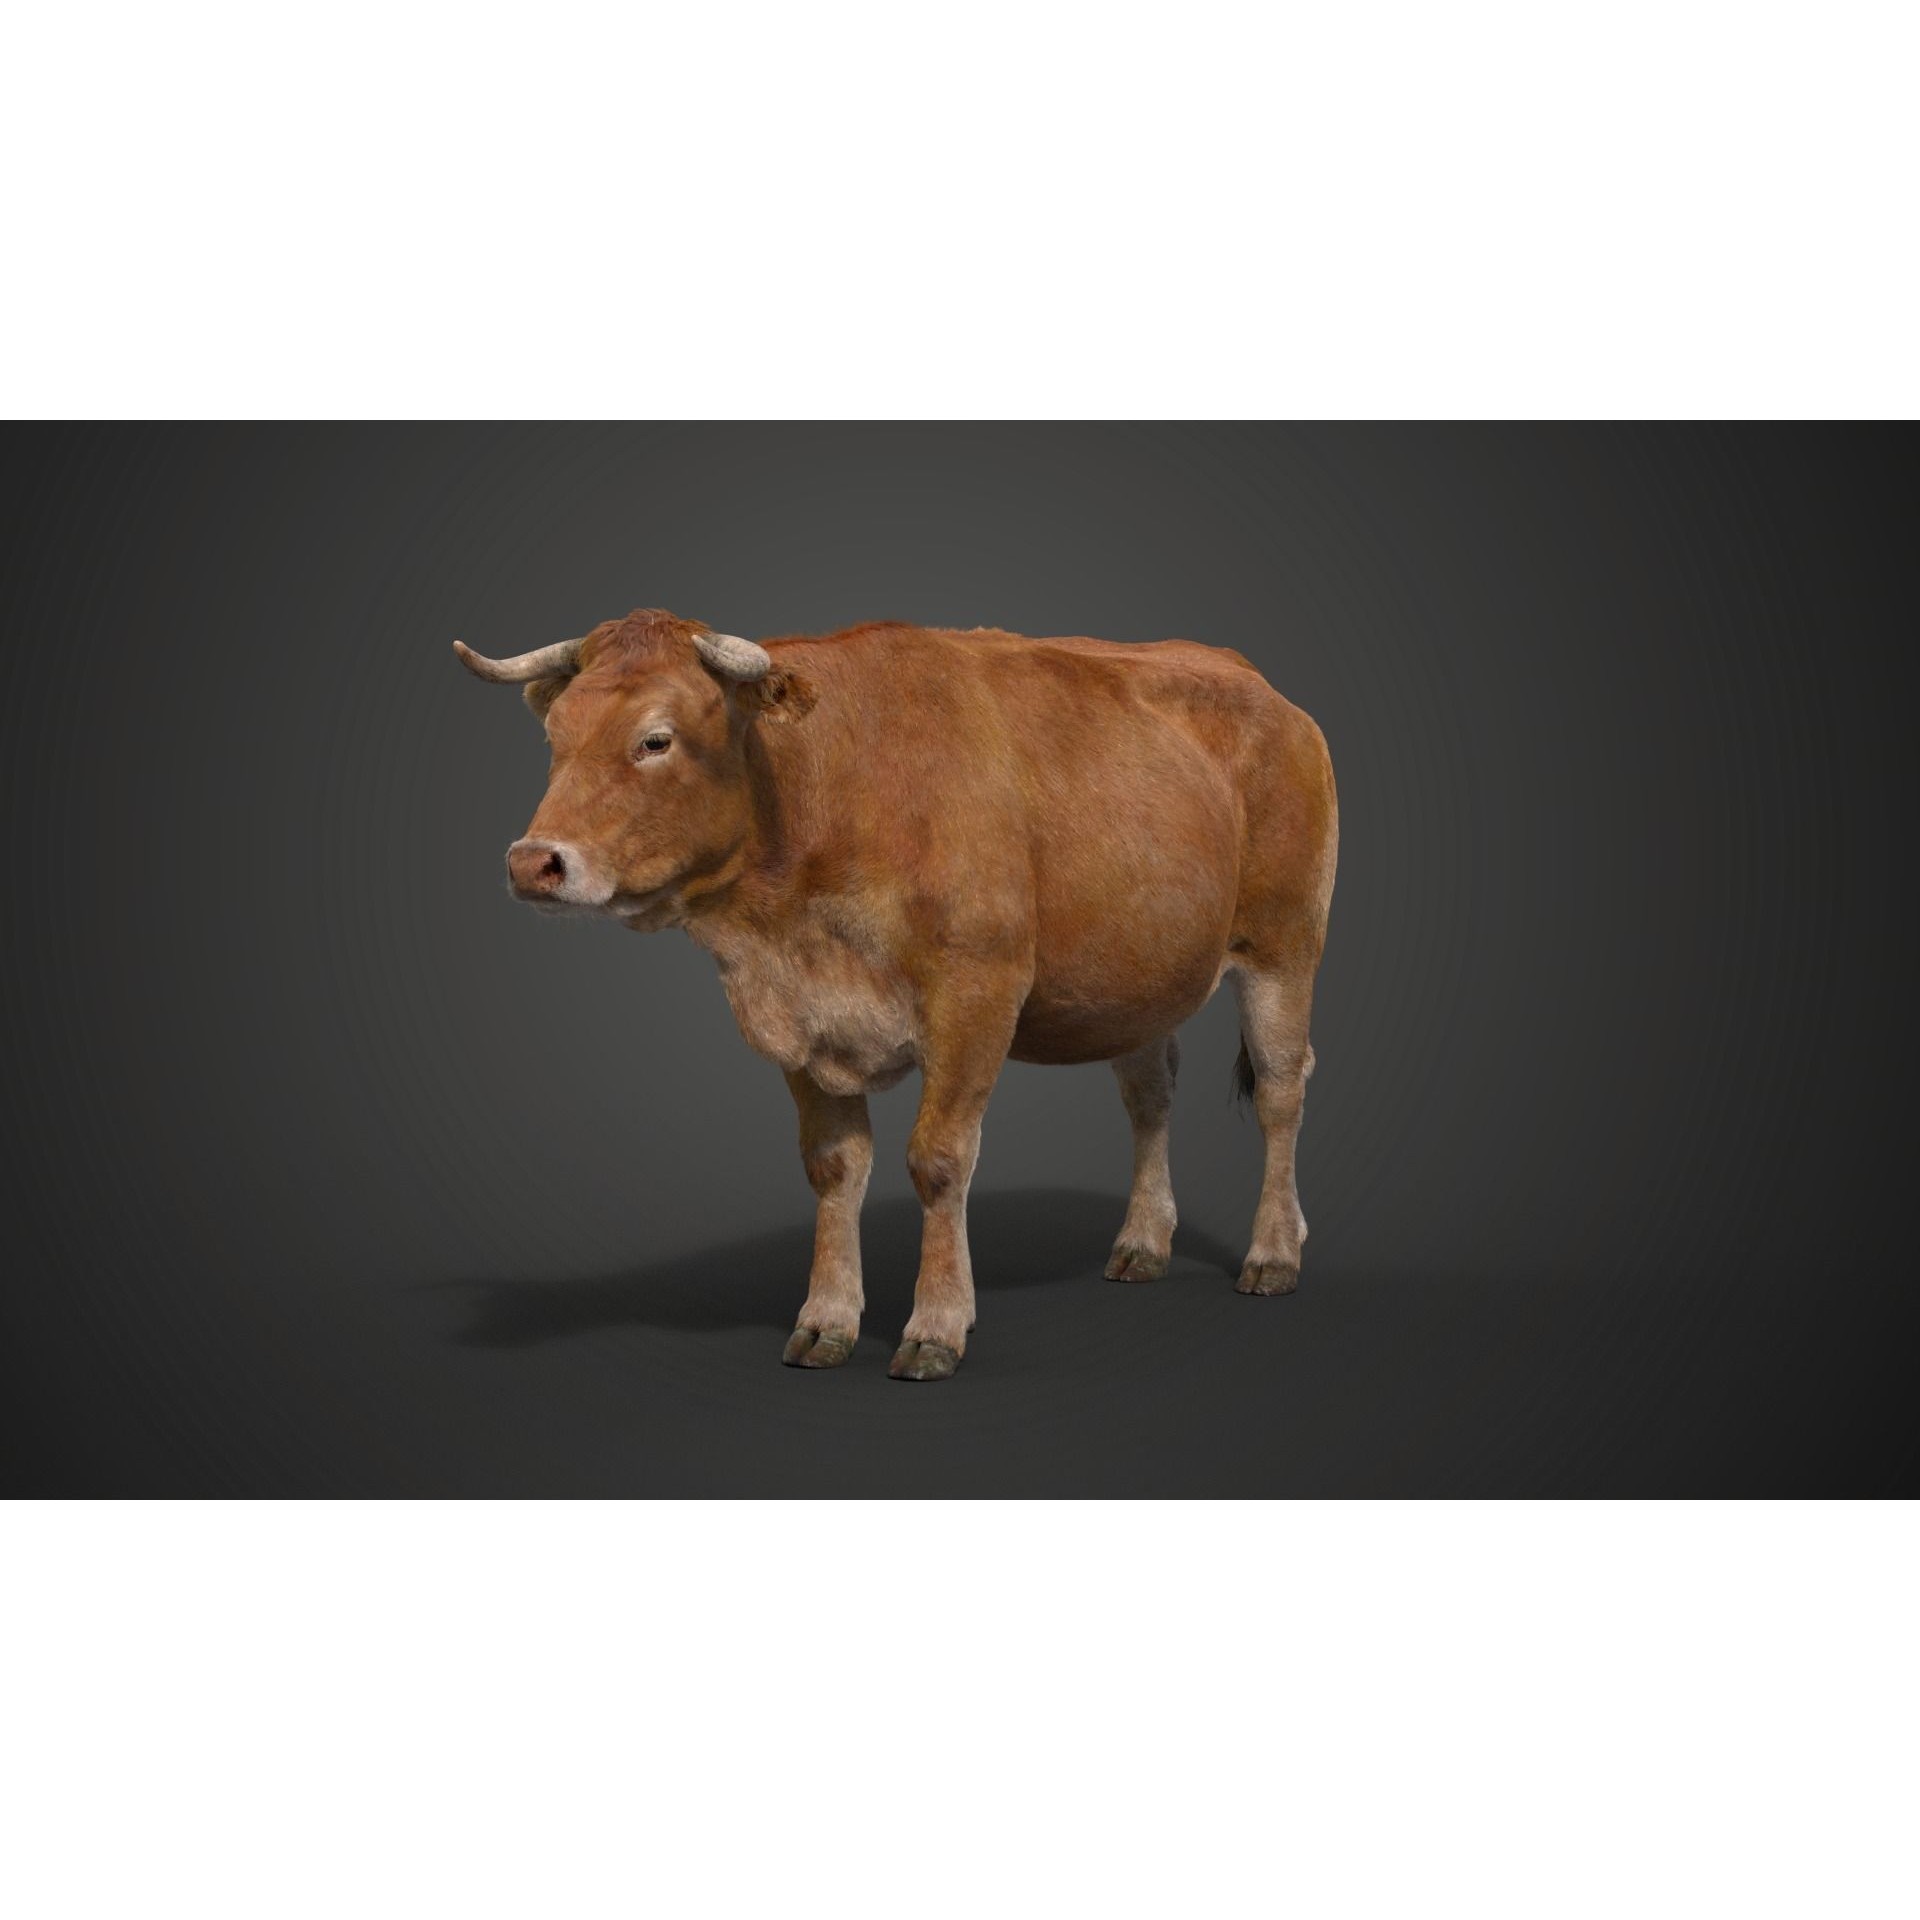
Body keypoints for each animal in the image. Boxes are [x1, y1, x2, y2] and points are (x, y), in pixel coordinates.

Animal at [454, 608, 1337, 1381]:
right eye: (555, 738)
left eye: (655, 739)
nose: (532, 862)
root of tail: (1260, 686)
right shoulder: (800, 1019)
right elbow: (834, 1166)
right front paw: (827, 1319)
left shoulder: (977, 993)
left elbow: (938, 1160)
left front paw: (937, 1327)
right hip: (1140, 976)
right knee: (1151, 1095)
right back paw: (1142, 1244)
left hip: (1284, 946)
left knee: (1281, 1090)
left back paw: (1273, 1252)